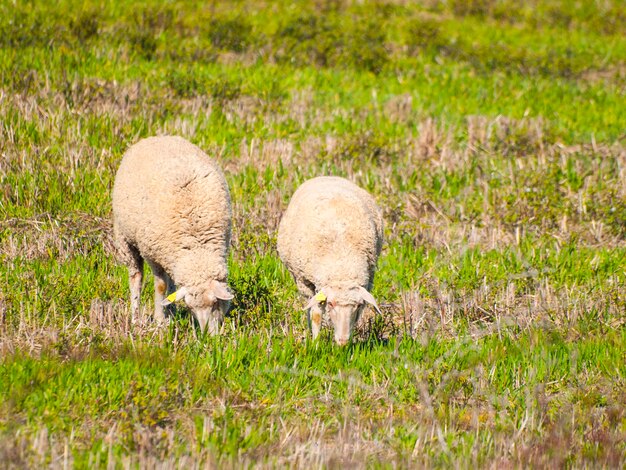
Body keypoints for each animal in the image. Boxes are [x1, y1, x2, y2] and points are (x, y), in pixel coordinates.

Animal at [111, 136, 233, 334]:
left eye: (215, 303)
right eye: (190, 308)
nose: (208, 337)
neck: (196, 245)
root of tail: (155, 137)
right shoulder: (153, 253)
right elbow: (160, 286)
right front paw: (160, 321)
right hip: (125, 239)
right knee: (136, 277)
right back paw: (136, 319)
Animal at [276, 176, 382, 346]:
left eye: (358, 305)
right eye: (330, 303)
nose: (343, 341)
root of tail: (328, 176)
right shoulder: (306, 282)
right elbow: (316, 314)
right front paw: (316, 343)